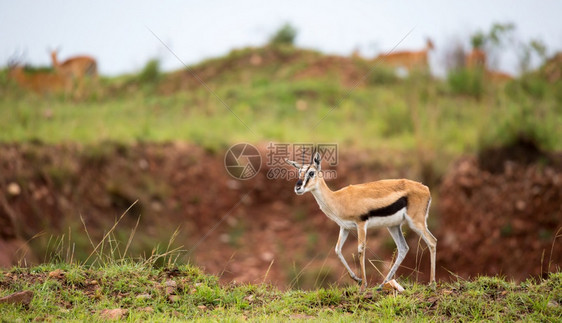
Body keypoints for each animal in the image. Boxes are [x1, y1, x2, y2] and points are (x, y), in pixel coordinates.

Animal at [286, 153, 436, 292]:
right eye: (299, 172)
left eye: (311, 172)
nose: (298, 188)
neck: (338, 199)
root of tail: (425, 188)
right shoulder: (345, 227)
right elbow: (337, 250)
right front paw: (357, 279)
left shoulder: (361, 224)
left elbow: (360, 250)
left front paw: (363, 285)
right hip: (393, 226)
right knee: (403, 248)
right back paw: (382, 285)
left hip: (416, 222)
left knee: (432, 242)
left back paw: (432, 284)